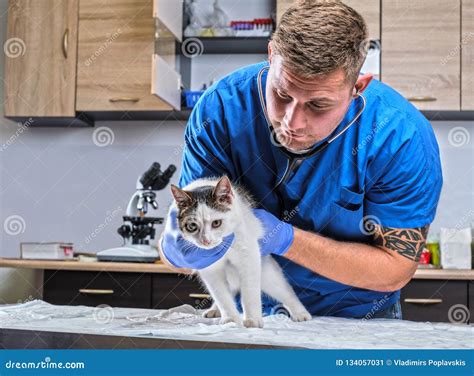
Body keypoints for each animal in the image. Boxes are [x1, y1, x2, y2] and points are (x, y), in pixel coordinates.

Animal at [168, 175, 312, 328]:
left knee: (283, 290)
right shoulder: (209, 268)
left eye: (216, 223)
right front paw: (230, 319)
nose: (205, 241)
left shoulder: (249, 255)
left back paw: (300, 313)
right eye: (192, 226)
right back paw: (215, 309)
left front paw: (252, 320)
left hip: (266, 272)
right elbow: (221, 295)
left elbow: (249, 292)